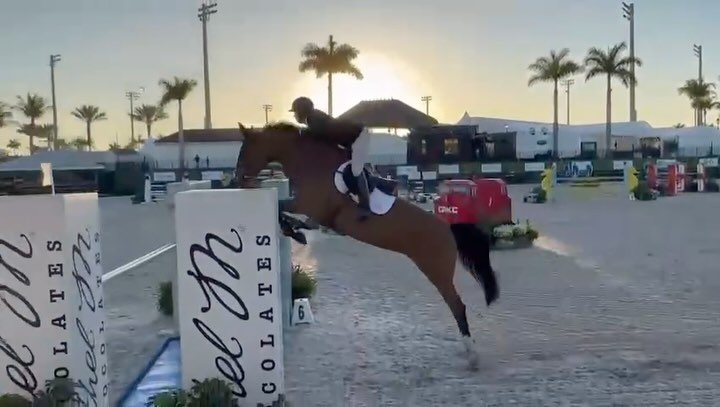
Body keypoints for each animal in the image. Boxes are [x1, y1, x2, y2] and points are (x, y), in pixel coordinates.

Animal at [235, 121, 499, 368]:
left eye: (246, 150)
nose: (238, 181)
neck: (309, 163)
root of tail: (448, 228)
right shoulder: (311, 210)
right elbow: (286, 212)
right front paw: (295, 231)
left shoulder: (310, 206)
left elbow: (283, 208)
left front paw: (294, 231)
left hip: (437, 271)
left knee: (457, 305)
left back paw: (472, 354)